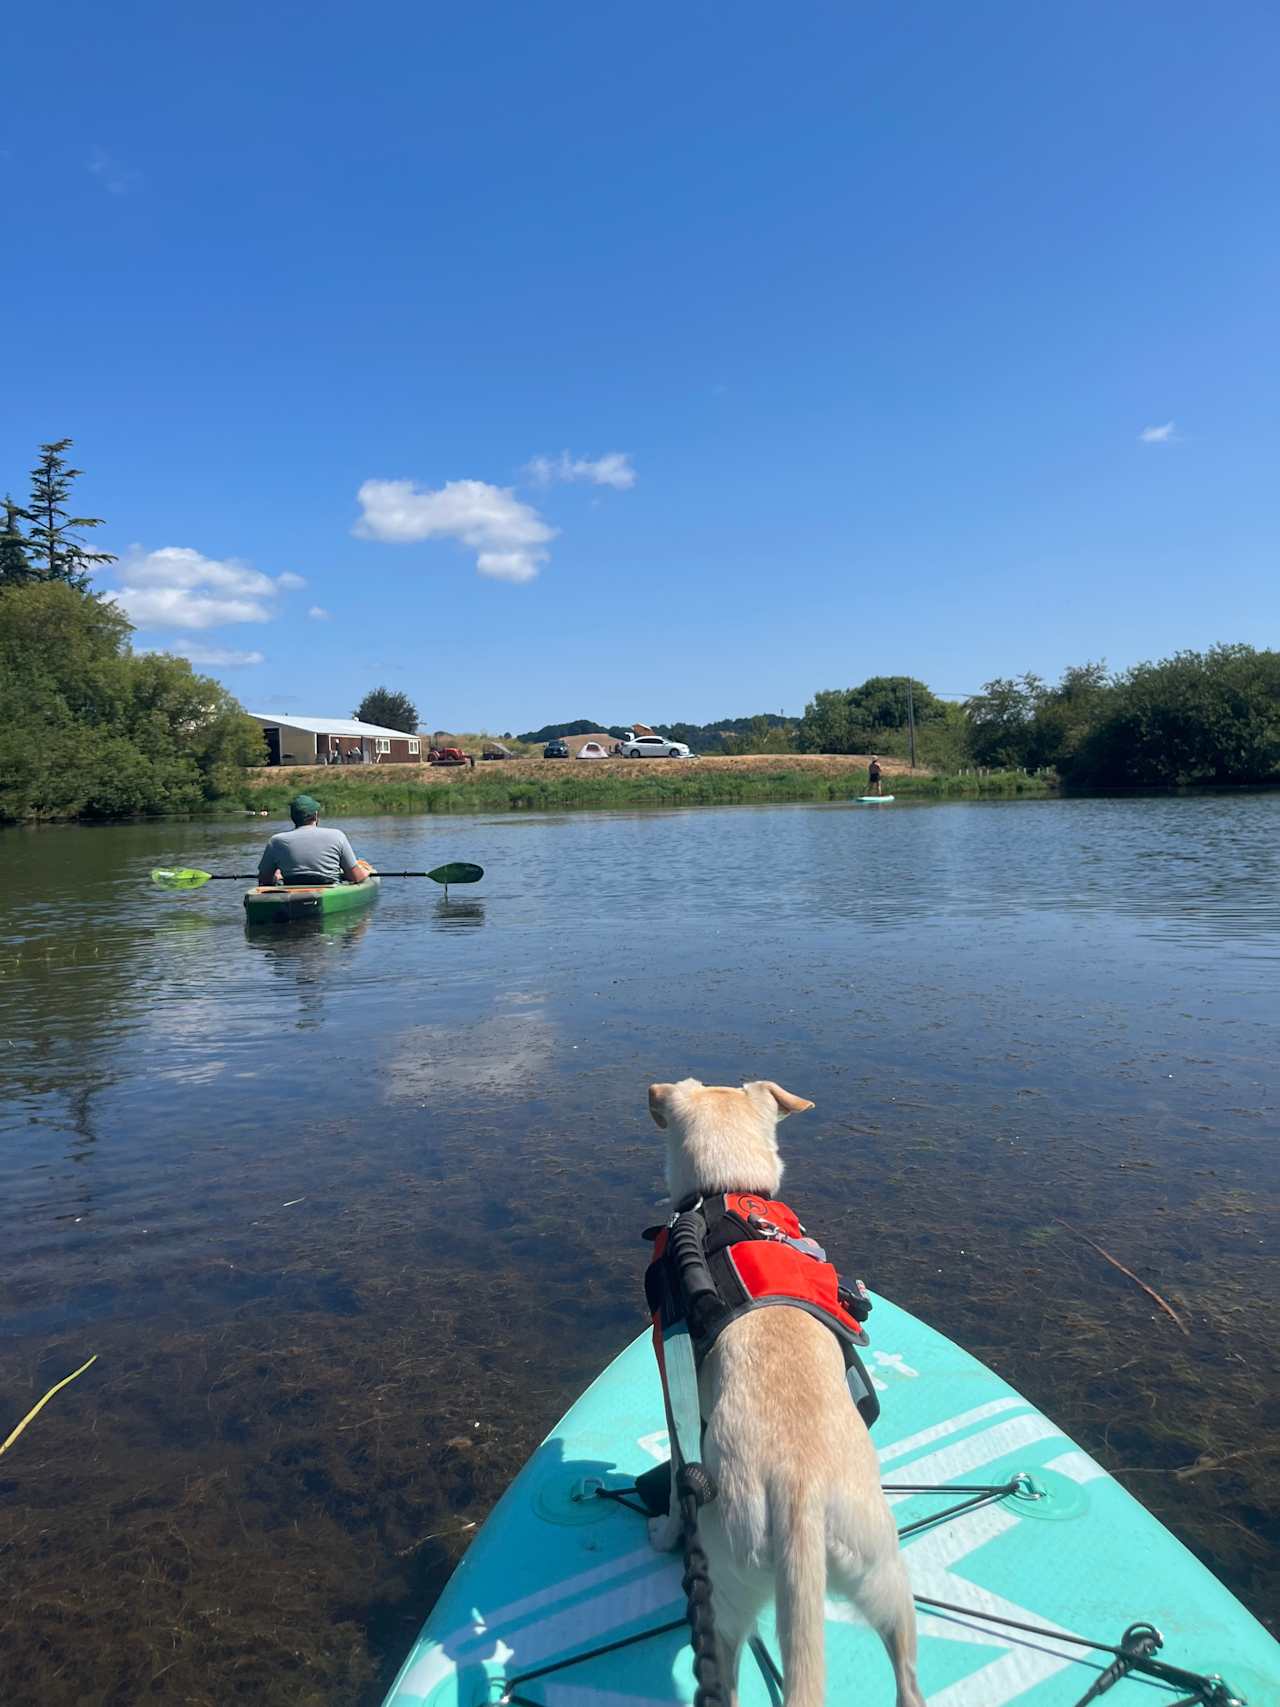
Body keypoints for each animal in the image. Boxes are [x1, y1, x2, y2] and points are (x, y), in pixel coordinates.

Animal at [651, 1078, 921, 1707]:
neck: (724, 1194)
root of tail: (800, 1492)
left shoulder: (675, 1406)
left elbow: (675, 1489)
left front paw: (663, 1534)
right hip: (883, 1572)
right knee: (908, 1678)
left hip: (724, 1592)